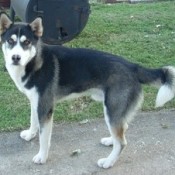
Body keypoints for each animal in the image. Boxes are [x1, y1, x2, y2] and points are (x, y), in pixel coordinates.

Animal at [0, 12, 175, 168]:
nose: (16, 57)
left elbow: (44, 137)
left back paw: (108, 162)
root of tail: (133, 66)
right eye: (10, 41)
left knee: (122, 142)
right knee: (122, 128)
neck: (35, 61)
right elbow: (33, 121)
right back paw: (110, 140)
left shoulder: (45, 107)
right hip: (115, 111)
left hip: (111, 109)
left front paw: (42, 157)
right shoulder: (36, 102)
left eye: (27, 42)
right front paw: (30, 135)